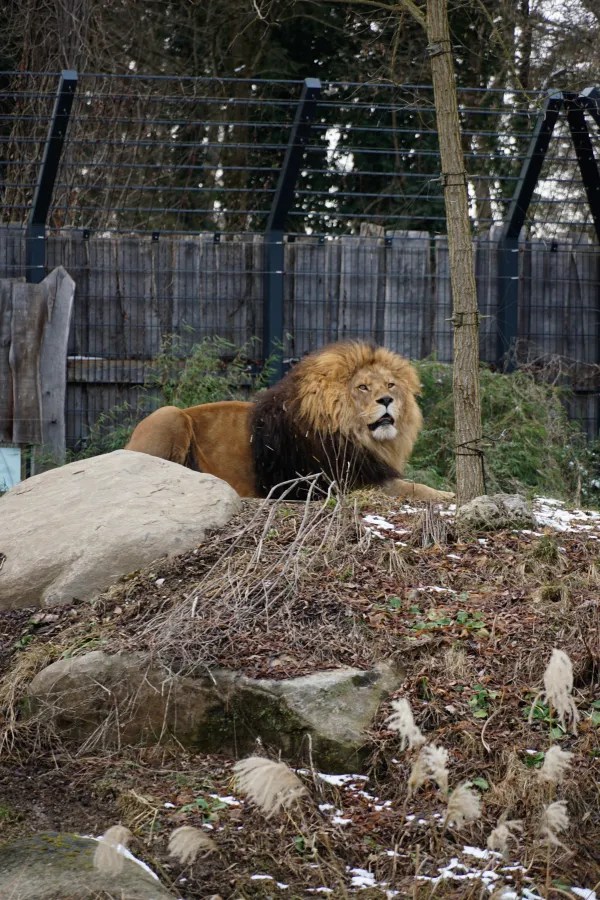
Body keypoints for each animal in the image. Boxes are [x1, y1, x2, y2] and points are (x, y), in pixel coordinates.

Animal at [125, 340, 453, 502]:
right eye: (362, 387)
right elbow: (411, 488)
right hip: (169, 414)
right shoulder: (341, 483)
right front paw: (448, 493)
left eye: (390, 385)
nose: (386, 400)